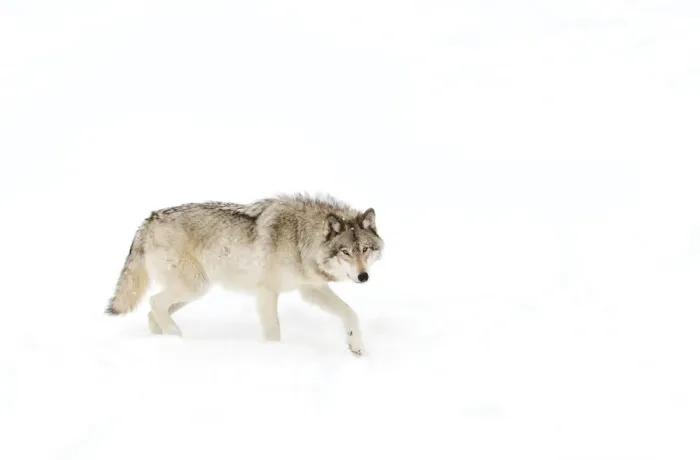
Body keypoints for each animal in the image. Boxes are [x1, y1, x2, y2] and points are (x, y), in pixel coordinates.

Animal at [105, 193, 384, 356]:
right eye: (346, 252)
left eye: (365, 249)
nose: (363, 277)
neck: (299, 237)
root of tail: (147, 221)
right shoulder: (267, 293)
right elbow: (273, 330)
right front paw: (275, 355)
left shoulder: (310, 289)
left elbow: (350, 313)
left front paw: (356, 346)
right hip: (194, 287)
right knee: (154, 303)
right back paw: (176, 336)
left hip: (193, 292)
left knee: (152, 313)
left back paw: (167, 342)